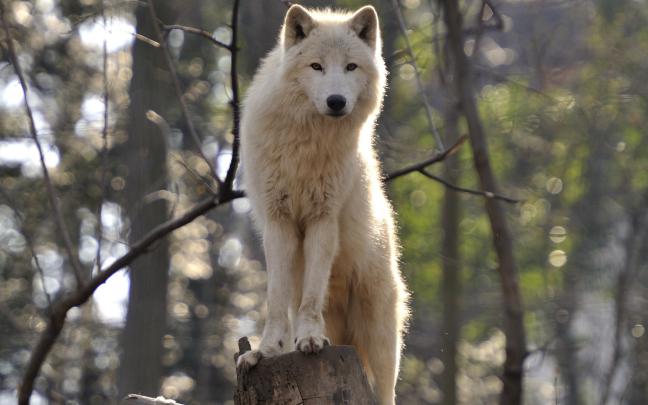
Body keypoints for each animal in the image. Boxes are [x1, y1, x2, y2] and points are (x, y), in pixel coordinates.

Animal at [236, 5, 409, 404]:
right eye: (316, 66)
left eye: (350, 67)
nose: (336, 101)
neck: (308, 143)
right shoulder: (279, 222)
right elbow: (276, 298)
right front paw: (266, 351)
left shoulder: (323, 220)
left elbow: (312, 295)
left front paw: (311, 339)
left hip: (381, 337)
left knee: (386, 390)